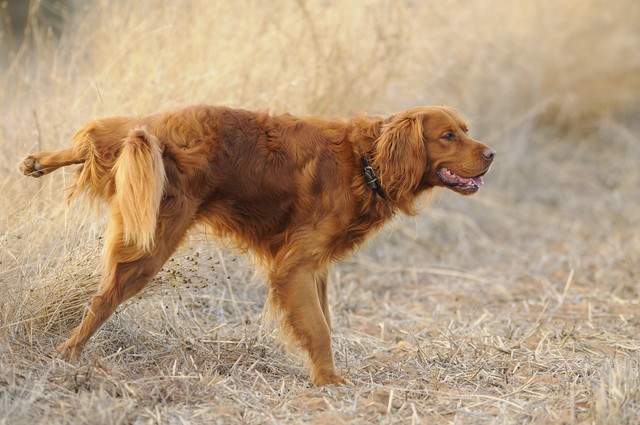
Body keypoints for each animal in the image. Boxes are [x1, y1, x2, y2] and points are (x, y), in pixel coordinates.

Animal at [18, 105, 496, 384]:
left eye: (466, 130)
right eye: (448, 136)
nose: (491, 155)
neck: (366, 161)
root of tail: (158, 133)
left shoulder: (315, 269)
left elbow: (323, 321)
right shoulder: (294, 266)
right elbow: (319, 329)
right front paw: (329, 383)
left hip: (139, 158)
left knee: (102, 135)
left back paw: (39, 161)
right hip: (151, 246)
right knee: (102, 300)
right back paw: (68, 354)